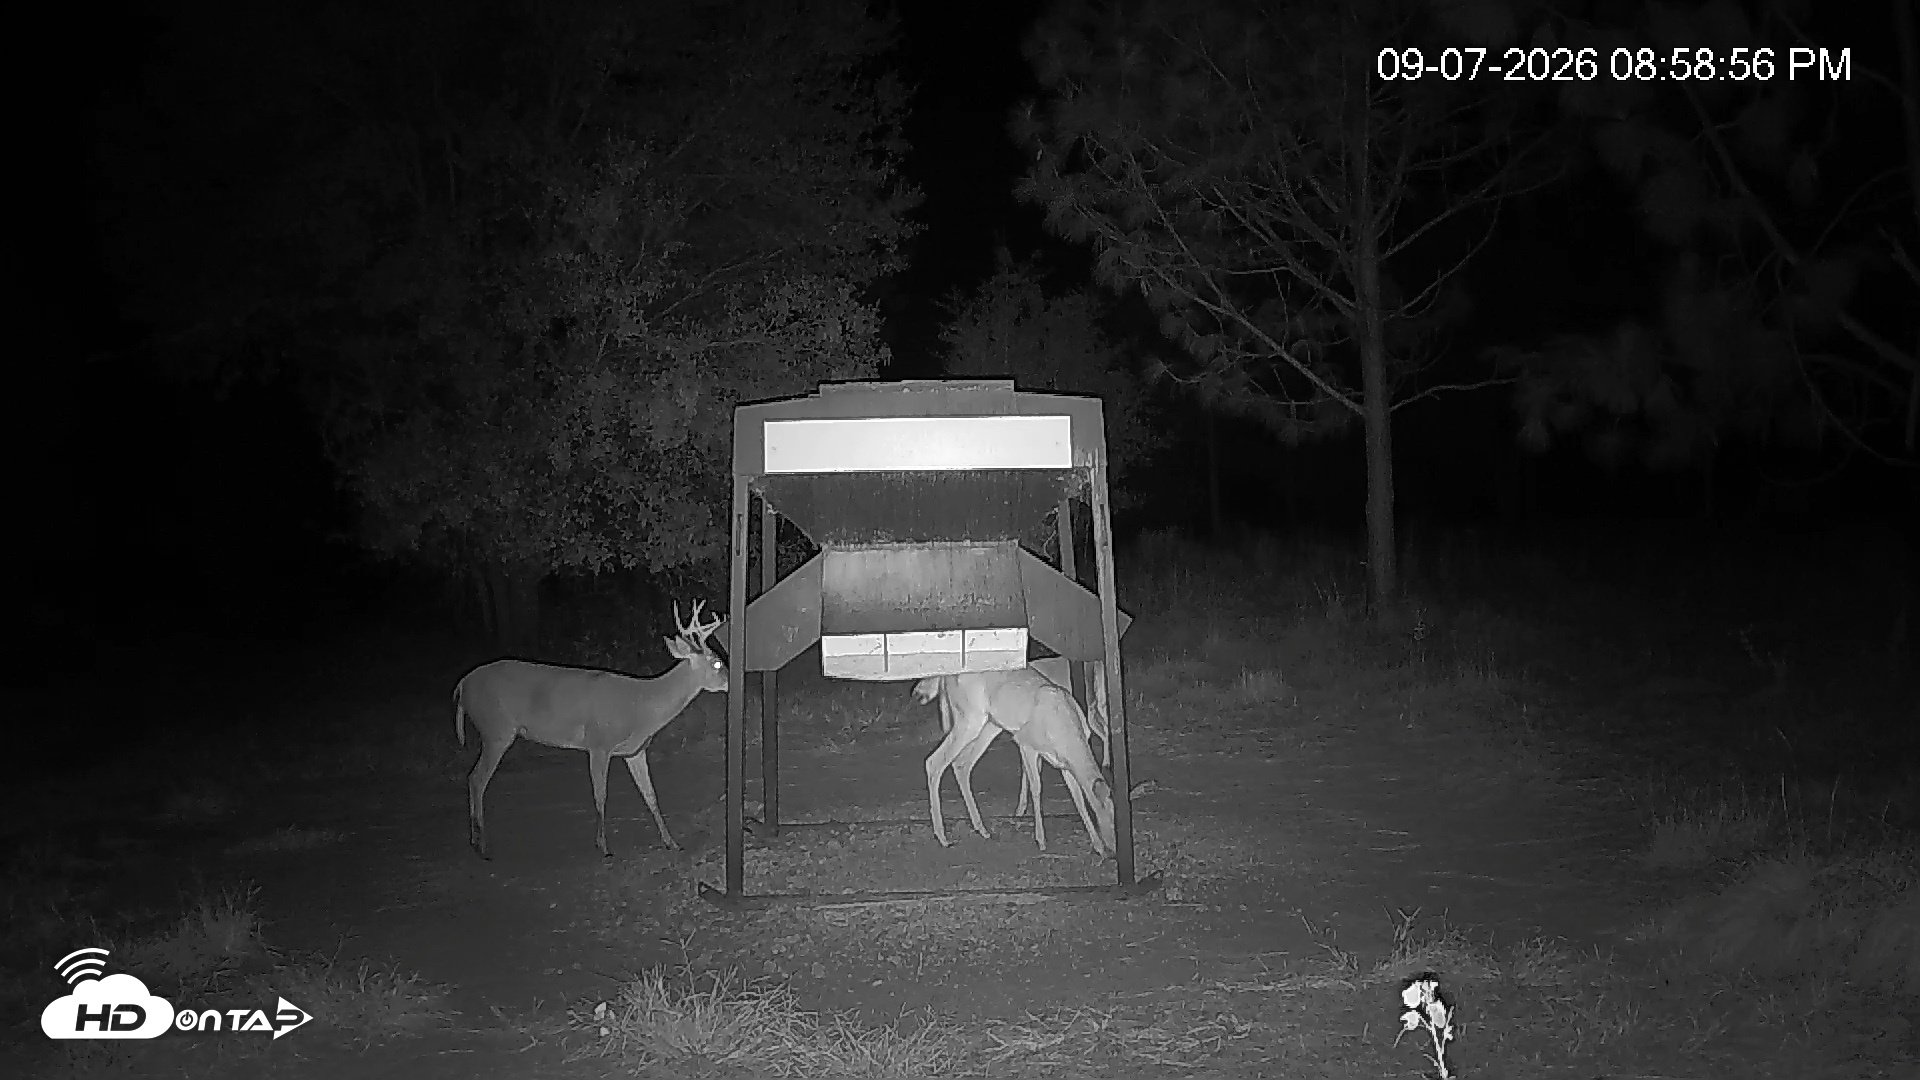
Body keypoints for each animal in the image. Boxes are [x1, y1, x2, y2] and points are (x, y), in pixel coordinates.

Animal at [453, 601, 727, 859]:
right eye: (716, 663)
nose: (731, 681)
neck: (642, 708)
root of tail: (462, 685)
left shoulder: (635, 750)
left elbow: (651, 795)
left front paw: (672, 842)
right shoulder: (599, 743)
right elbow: (600, 794)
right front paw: (603, 846)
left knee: (472, 778)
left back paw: (474, 840)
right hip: (496, 729)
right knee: (477, 778)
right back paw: (481, 845)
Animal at [919, 668, 1116, 856]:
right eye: (1111, 817)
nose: (1113, 847)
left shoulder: (1065, 764)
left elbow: (1078, 799)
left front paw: (1098, 846)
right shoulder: (1025, 742)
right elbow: (1037, 788)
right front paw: (1040, 840)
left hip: (990, 724)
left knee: (961, 764)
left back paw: (982, 829)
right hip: (968, 718)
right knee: (934, 762)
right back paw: (943, 837)